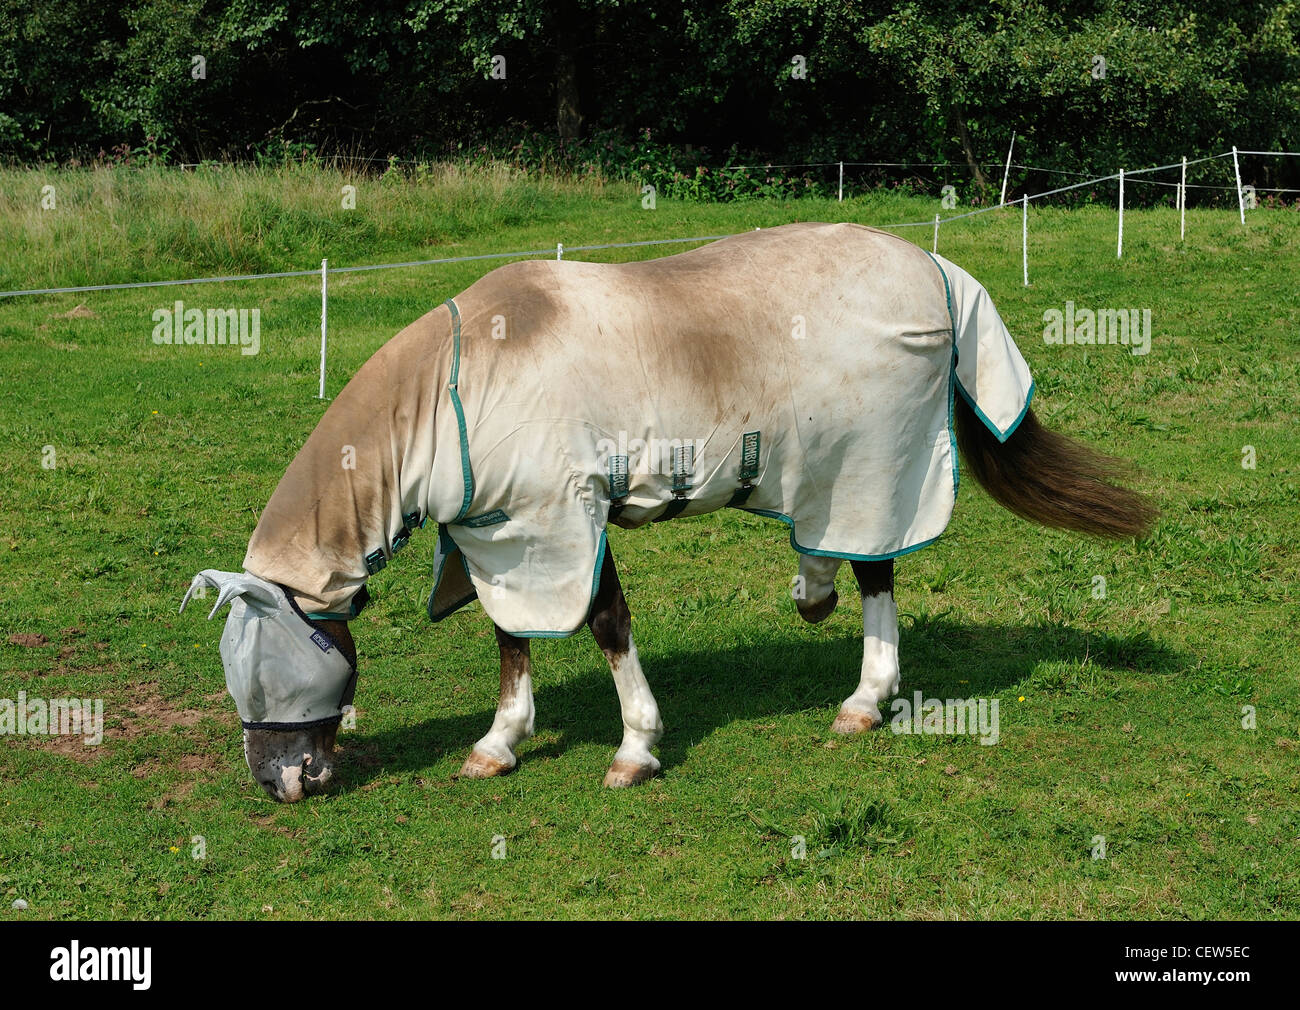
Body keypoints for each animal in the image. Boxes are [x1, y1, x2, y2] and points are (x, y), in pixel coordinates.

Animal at [181, 222, 1155, 802]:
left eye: (266, 666)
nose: (281, 780)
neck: (462, 388)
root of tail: (933, 267)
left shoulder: (564, 519)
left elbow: (607, 624)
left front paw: (635, 748)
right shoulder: (505, 541)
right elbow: (512, 639)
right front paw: (500, 741)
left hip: (881, 467)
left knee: (877, 570)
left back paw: (864, 700)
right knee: (828, 548)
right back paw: (812, 593)